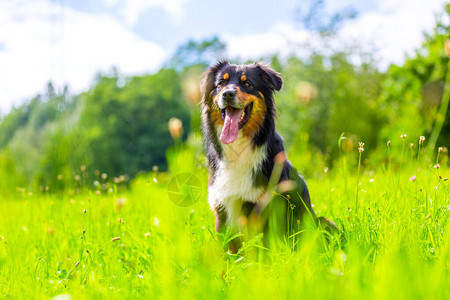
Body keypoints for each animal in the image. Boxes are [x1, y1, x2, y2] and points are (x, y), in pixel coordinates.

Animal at [200, 61, 334, 248]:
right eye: (221, 83)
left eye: (247, 83)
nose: (227, 94)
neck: (239, 149)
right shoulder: (221, 207)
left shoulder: (265, 208)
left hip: (324, 223)